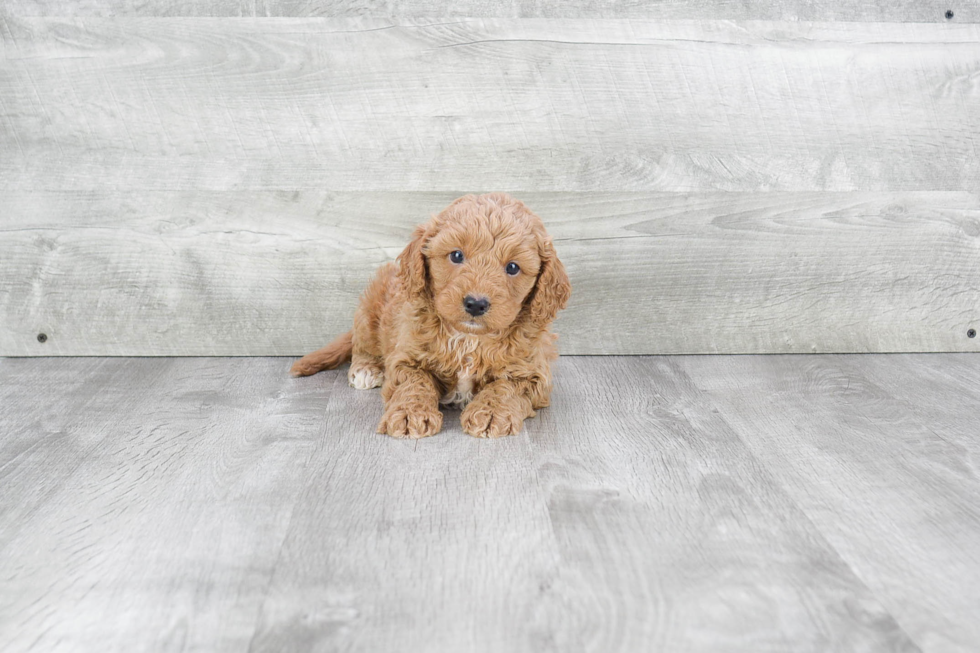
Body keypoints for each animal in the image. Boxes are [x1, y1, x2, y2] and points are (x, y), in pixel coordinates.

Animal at [288, 194, 572, 438]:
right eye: (456, 255)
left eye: (513, 267)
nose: (476, 304)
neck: (468, 338)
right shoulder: (407, 357)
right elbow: (414, 383)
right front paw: (409, 414)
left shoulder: (532, 372)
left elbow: (504, 387)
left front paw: (491, 413)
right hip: (369, 309)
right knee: (363, 344)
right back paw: (365, 369)